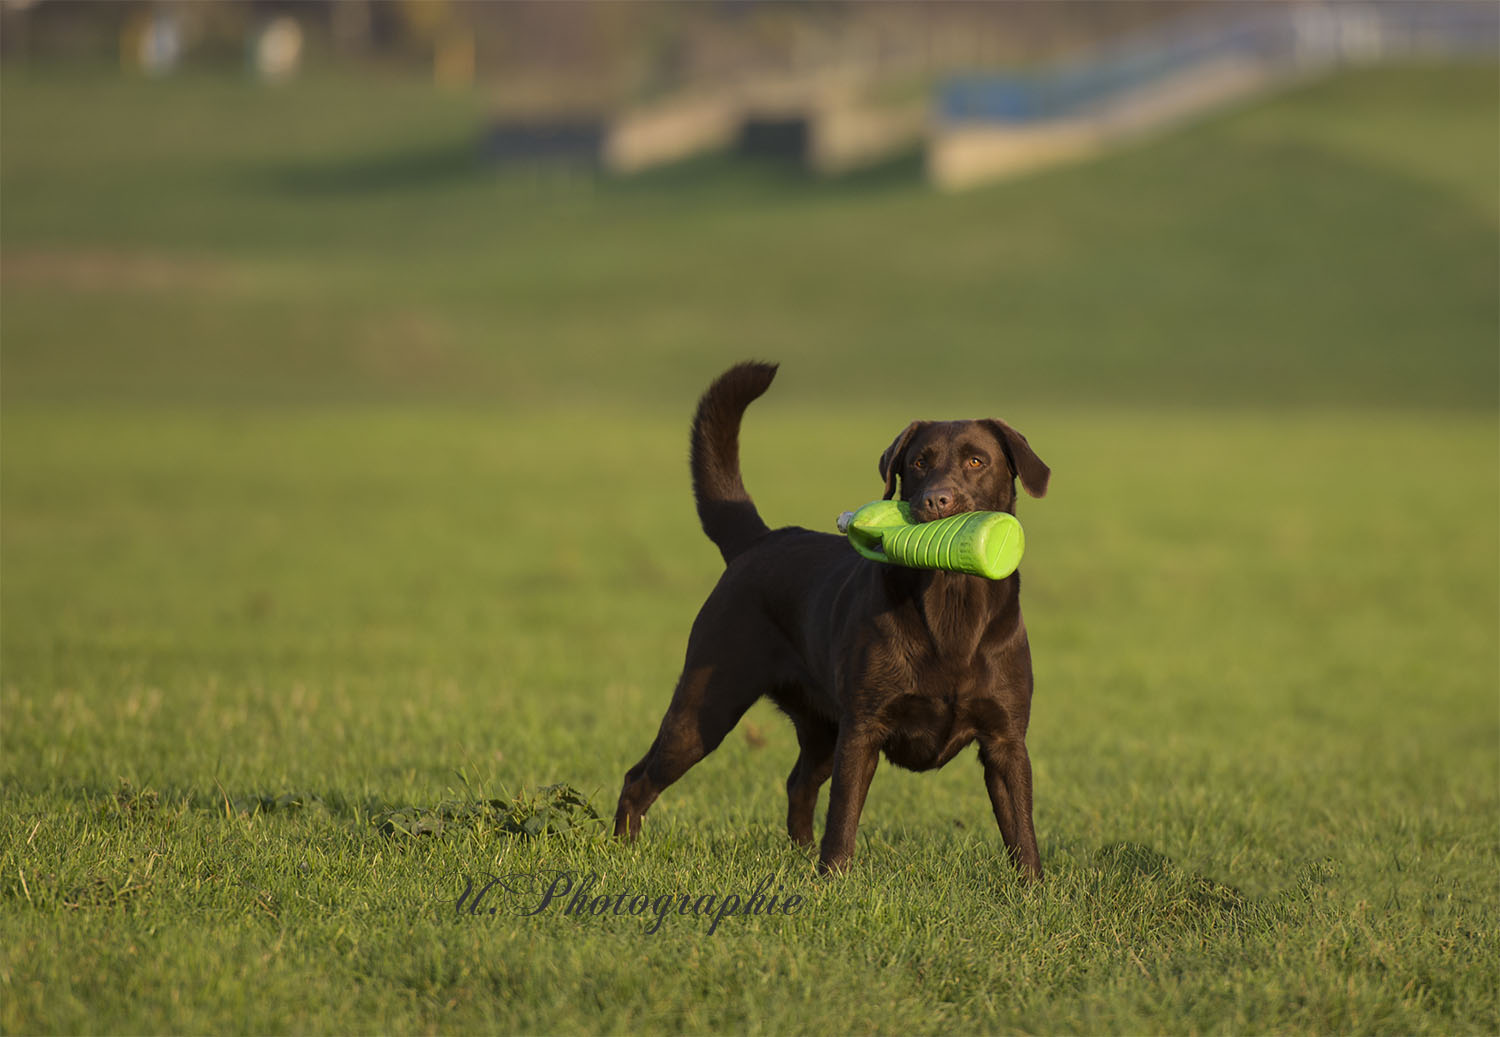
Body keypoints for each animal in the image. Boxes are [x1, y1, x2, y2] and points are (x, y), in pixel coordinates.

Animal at [615, 361, 1050, 882]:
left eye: (977, 462)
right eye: (919, 463)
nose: (936, 501)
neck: (951, 605)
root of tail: (759, 540)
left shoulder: (1006, 741)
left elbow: (1020, 828)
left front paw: (1032, 888)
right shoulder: (862, 729)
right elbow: (843, 815)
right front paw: (834, 878)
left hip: (819, 729)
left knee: (798, 783)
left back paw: (800, 854)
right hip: (705, 710)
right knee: (640, 776)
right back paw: (620, 851)